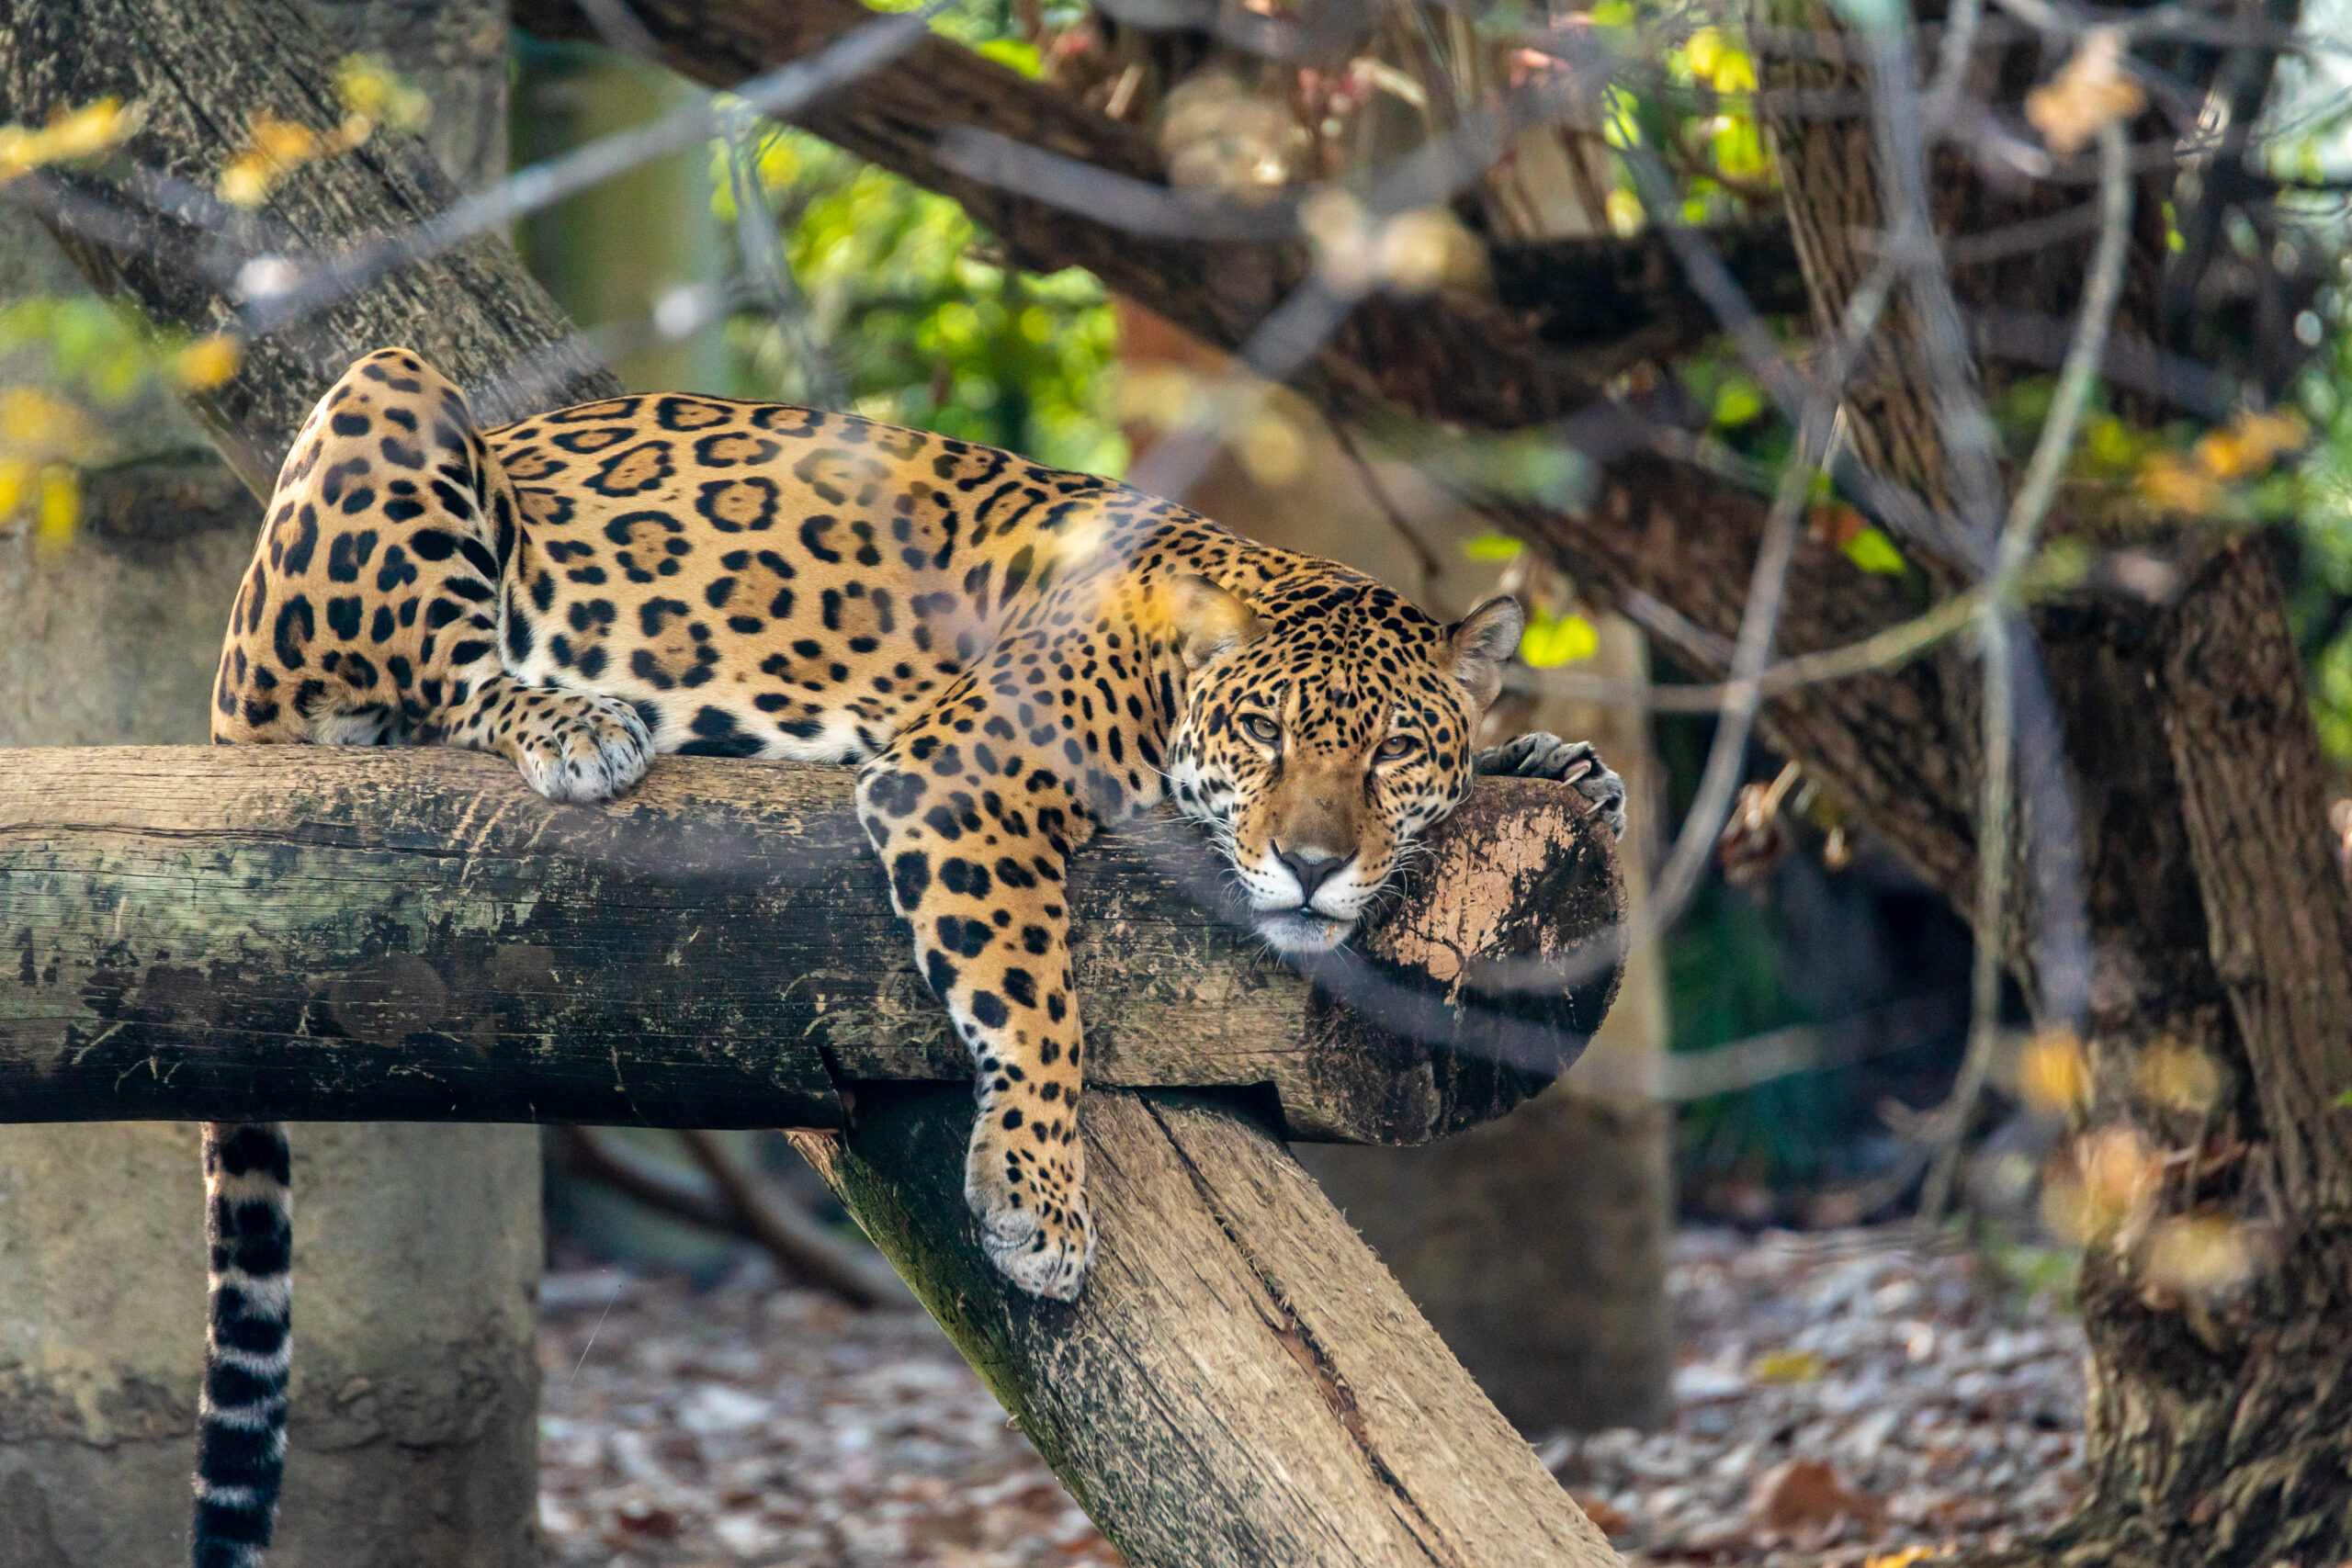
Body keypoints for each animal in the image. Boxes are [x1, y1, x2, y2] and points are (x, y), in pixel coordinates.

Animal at [192, 347, 1626, 1567]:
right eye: (1265, 734)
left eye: (1393, 752)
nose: (1317, 863)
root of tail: (224, 684)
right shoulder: (966, 779)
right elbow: (1039, 997)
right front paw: (1038, 1198)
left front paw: (1558, 762)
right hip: (385, 409)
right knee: (441, 679)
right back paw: (578, 720)